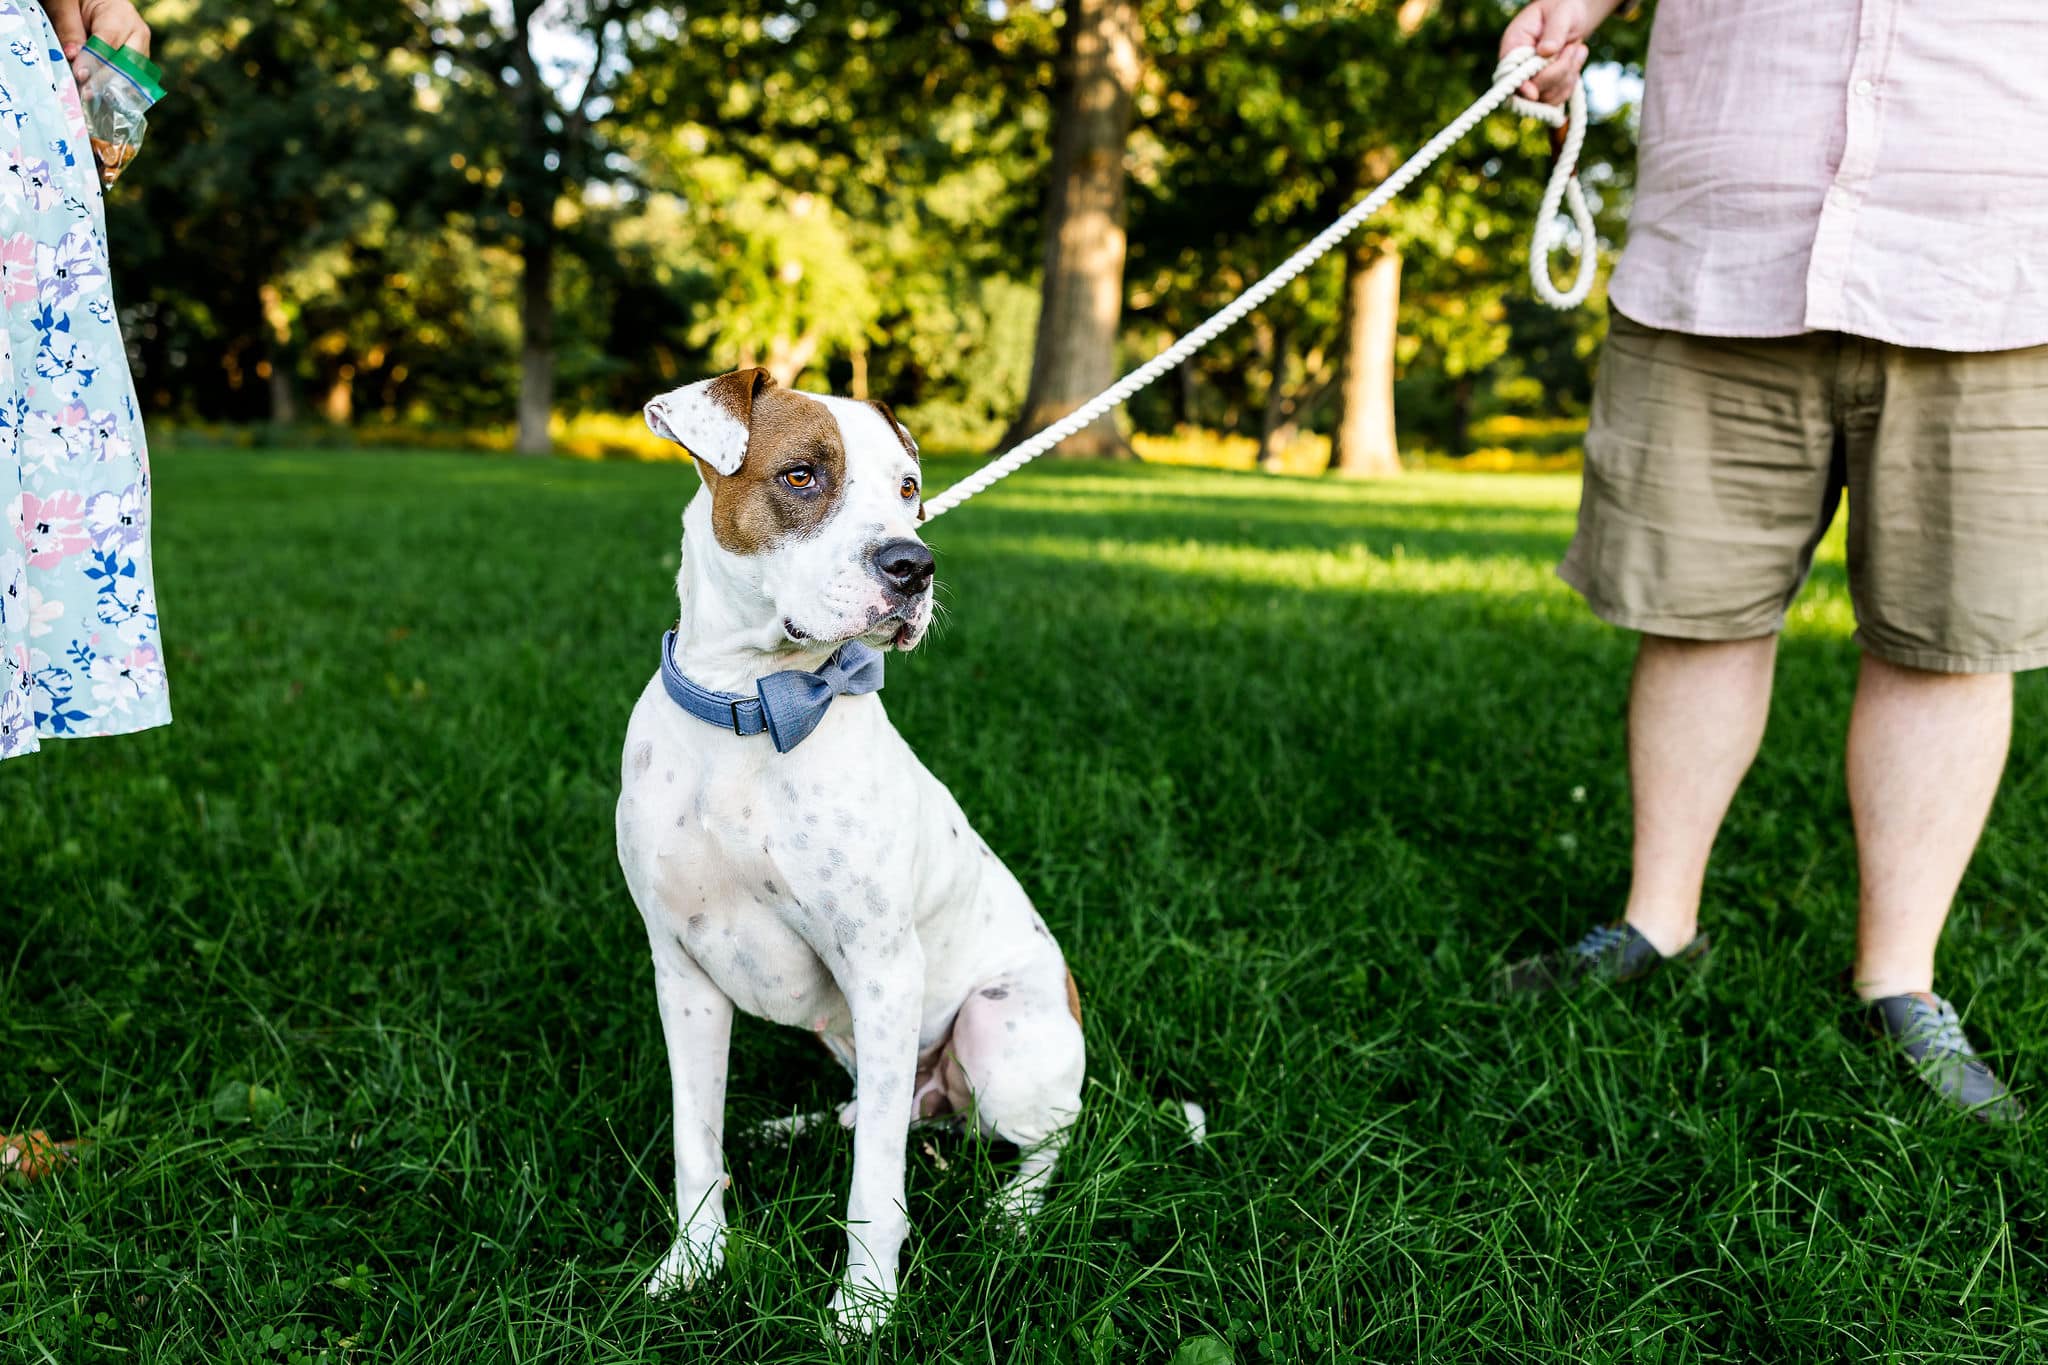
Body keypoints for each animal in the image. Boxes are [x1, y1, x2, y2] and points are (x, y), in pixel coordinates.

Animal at [610, 368, 1081, 1326]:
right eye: (801, 476)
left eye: (909, 490)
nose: (913, 565)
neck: (753, 705)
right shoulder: (682, 973)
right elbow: (694, 1141)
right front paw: (690, 1266)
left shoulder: (882, 968)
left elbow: (875, 1189)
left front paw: (863, 1306)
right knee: (881, 1109)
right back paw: (803, 1124)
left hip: (994, 1028)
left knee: (1045, 1140)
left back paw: (1014, 1212)